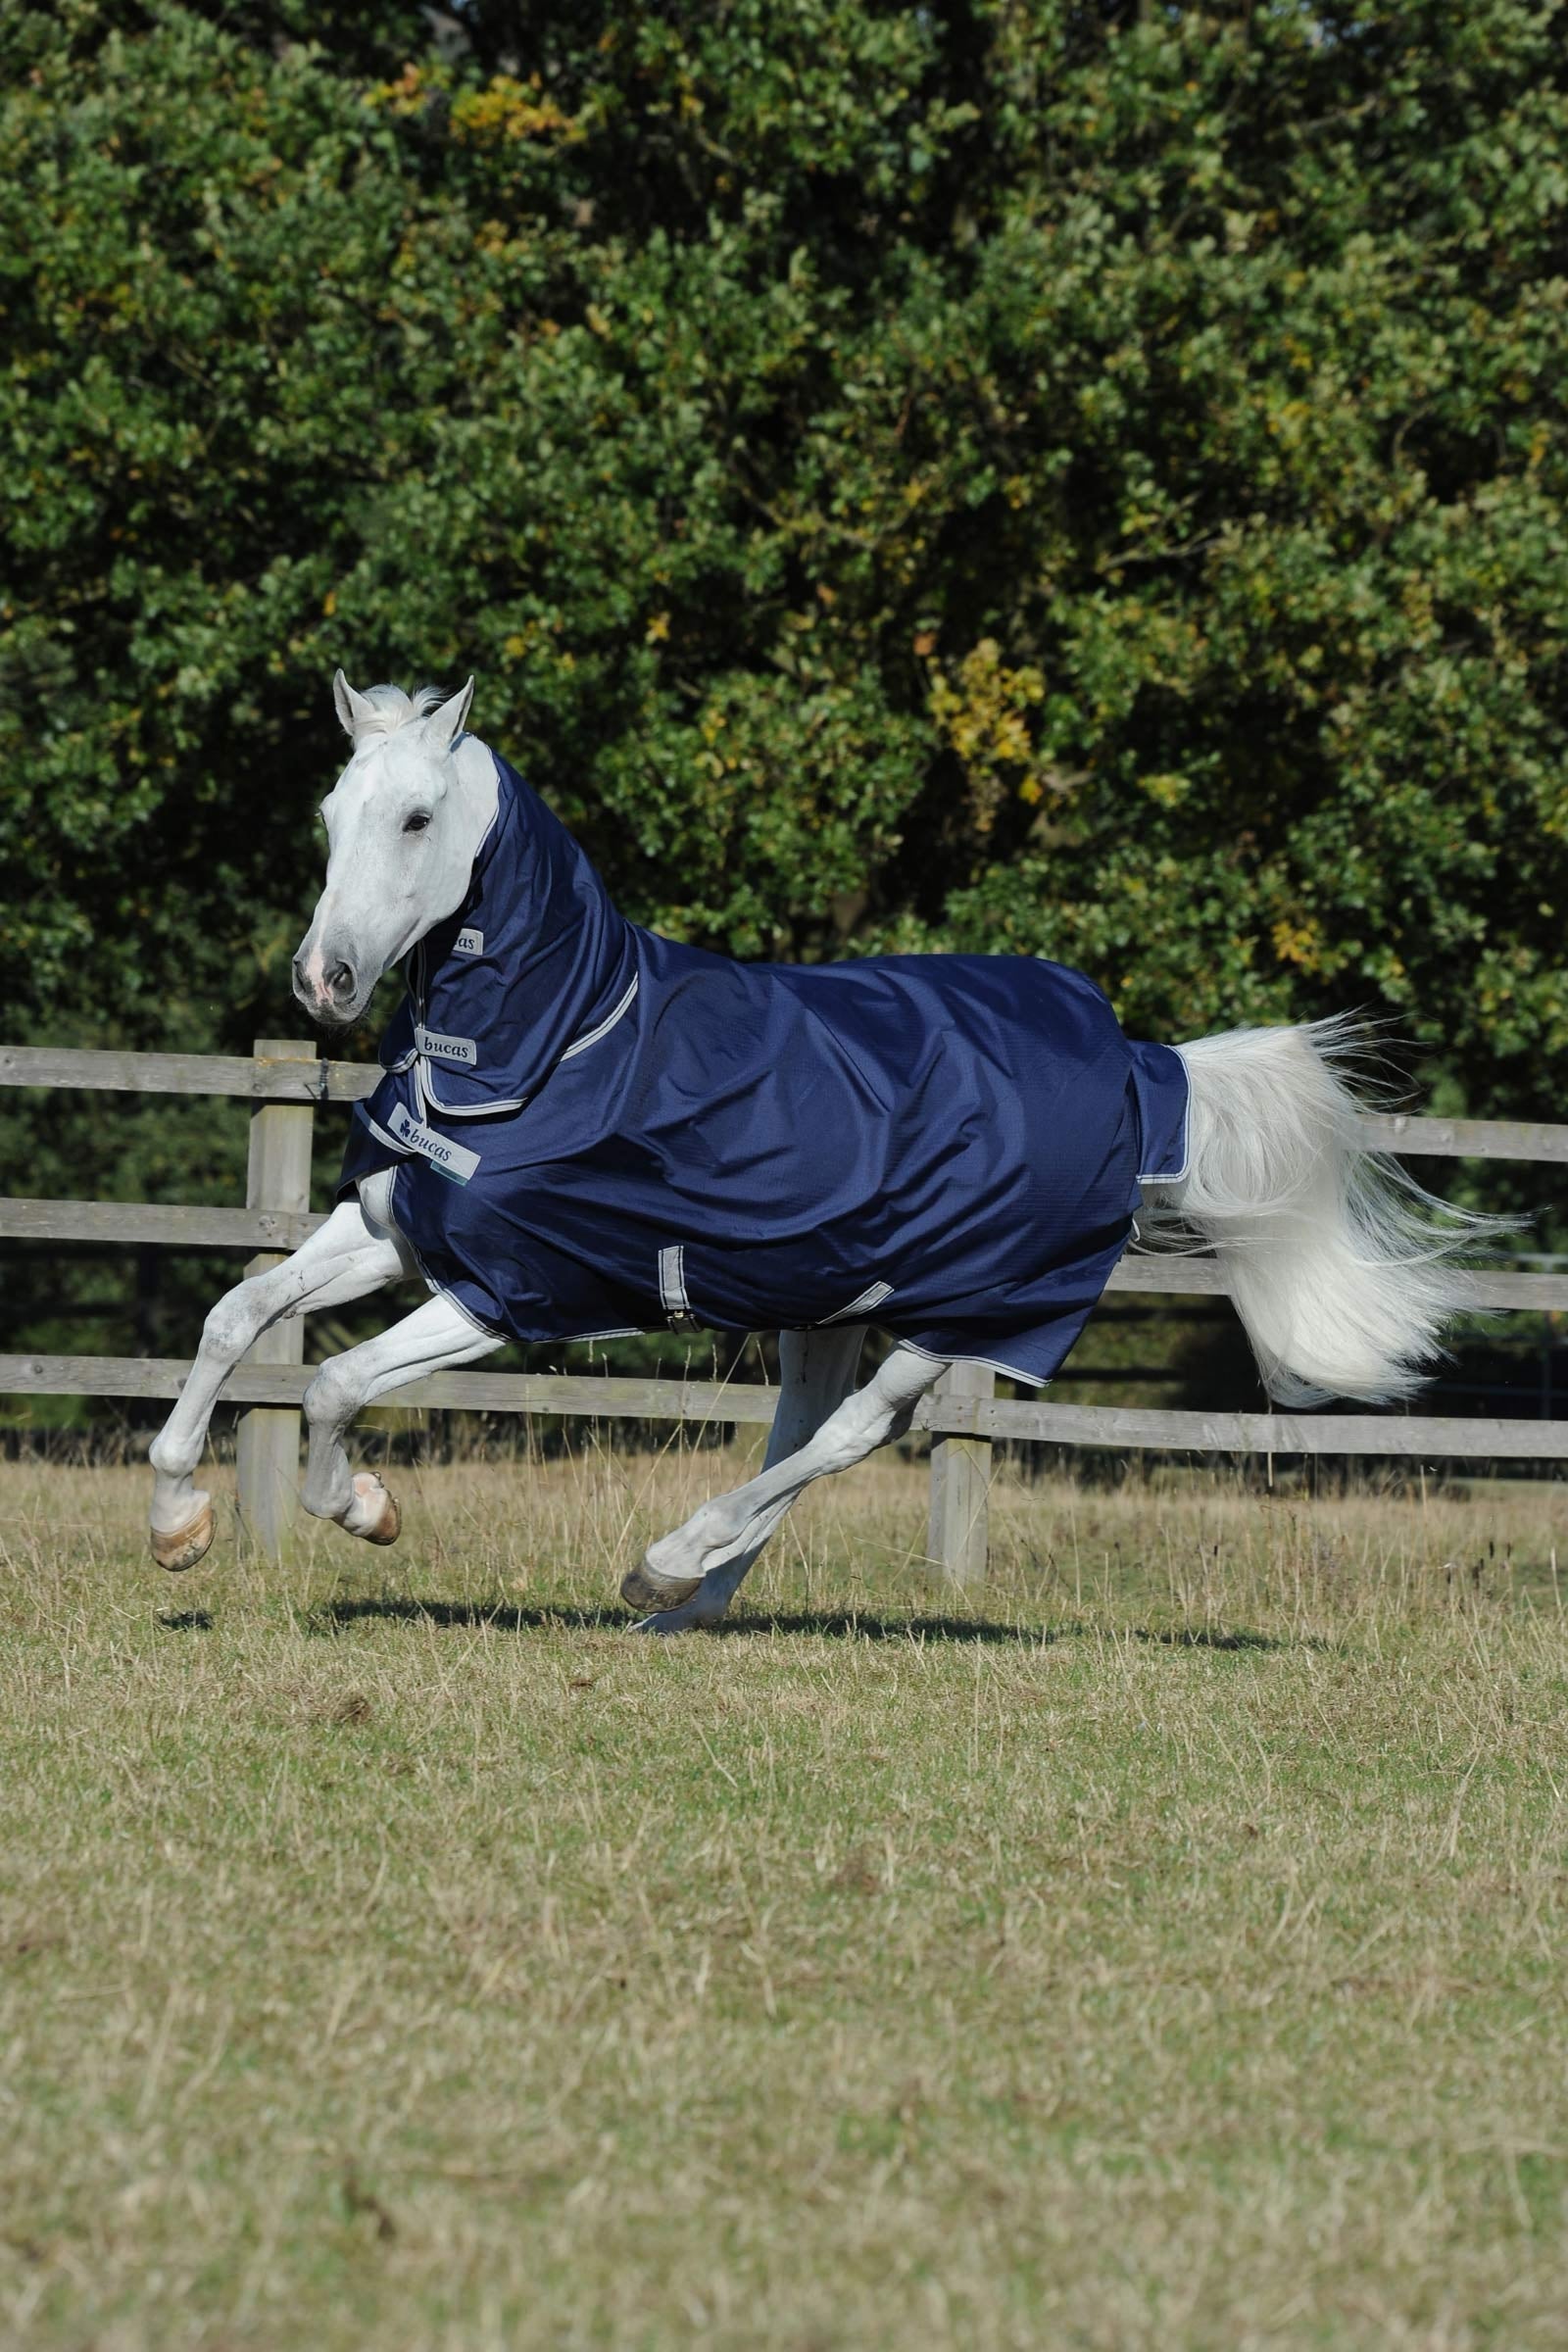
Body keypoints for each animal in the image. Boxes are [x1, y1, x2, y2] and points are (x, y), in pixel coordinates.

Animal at [148, 673, 1481, 1630]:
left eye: (418, 817)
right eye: (330, 815)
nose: (322, 980)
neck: (559, 1039)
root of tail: (1141, 1066)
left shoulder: (509, 1294)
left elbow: (332, 1384)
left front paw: (363, 1510)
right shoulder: (397, 1230)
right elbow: (234, 1313)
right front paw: (177, 1522)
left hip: (966, 1310)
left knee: (849, 1438)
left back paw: (666, 1563)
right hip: (830, 1300)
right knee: (801, 1437)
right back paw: (681, 1606)